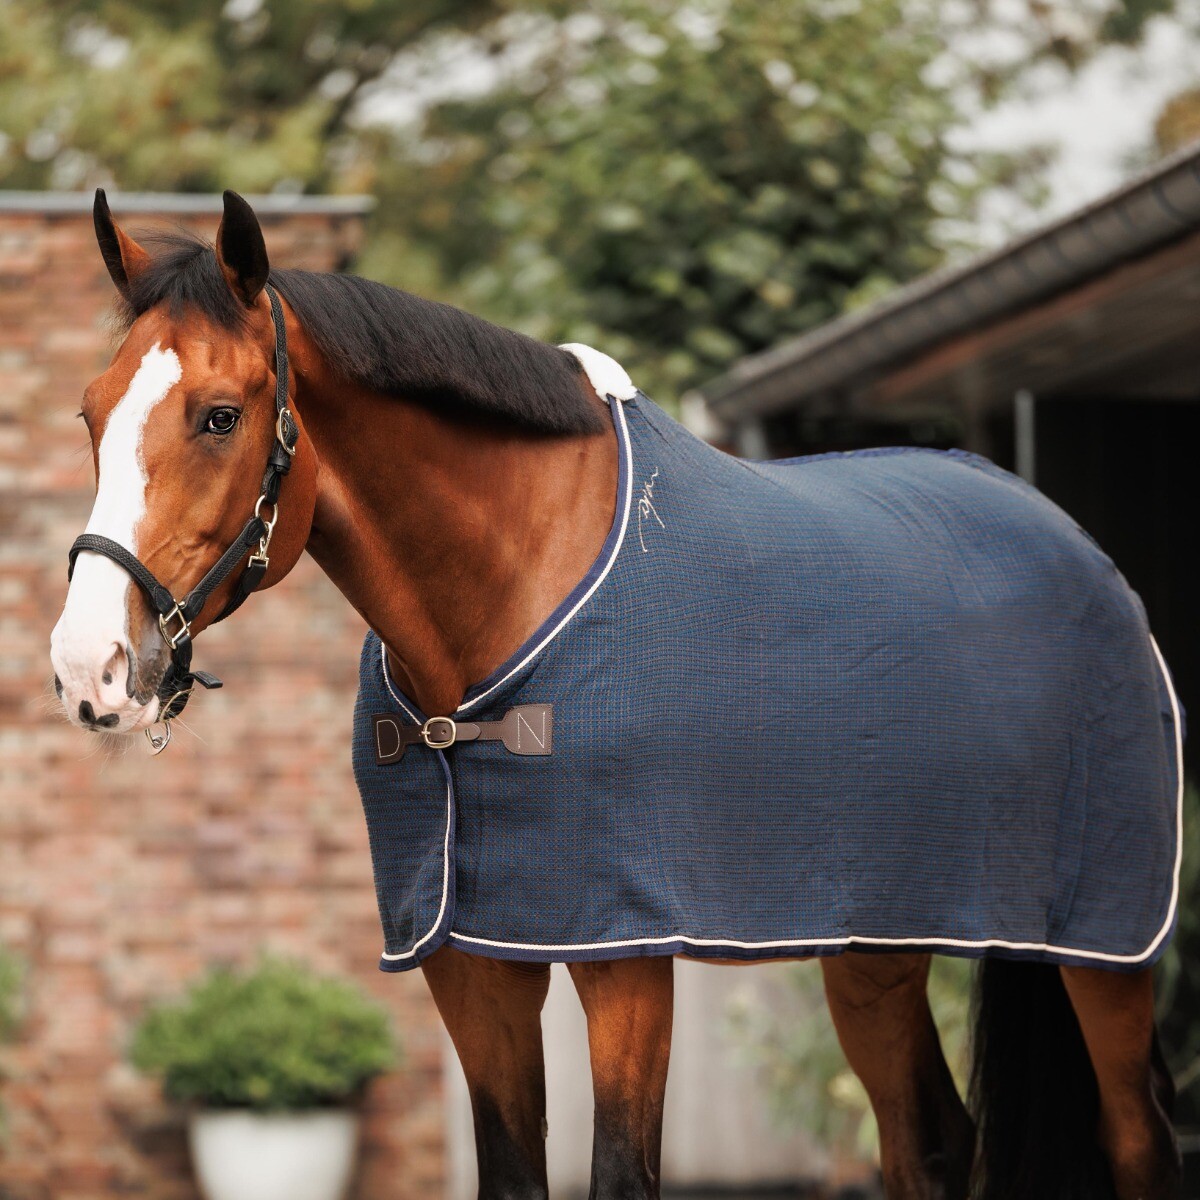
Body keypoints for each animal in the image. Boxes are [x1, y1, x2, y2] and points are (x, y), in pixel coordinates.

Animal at [49, 189, 1182, 1200]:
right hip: (879, 946)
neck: (507, 599)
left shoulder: (624, 956)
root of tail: (1071, 541)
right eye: (91, 412)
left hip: (1106, 948)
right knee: (929, 1143)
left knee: (1136, 1143)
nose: (89, 667)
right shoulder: (471, 967)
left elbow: (621, 1175)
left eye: (220, 417)